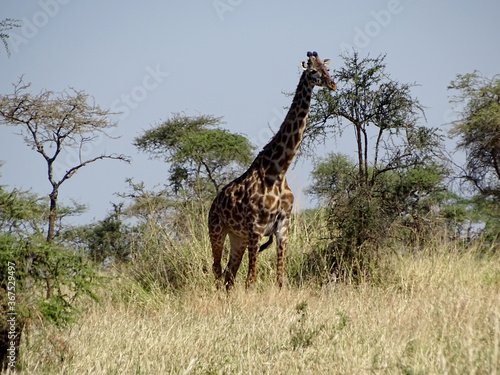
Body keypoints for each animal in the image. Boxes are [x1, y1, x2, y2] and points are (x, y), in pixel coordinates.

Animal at [207, 50, 336, 290]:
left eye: (328, 69)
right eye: (313, 71)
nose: (332, 84)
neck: (278, 171)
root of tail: (213, 203)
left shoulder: (283, 226)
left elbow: (280, 279)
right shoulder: (256, 228)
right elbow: (251, 280)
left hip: (238, 238)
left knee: (229, 275)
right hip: (217, 231)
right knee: (218, 272)